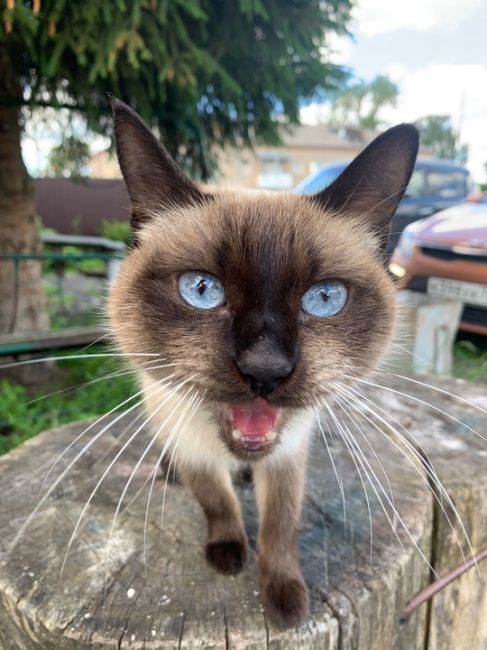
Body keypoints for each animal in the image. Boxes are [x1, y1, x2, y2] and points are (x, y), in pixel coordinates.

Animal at [107, 97, 420, 628]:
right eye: (202, 290)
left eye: (324, 298)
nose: (265, 368)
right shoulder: (192, 444)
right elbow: (217, 503)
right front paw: (230, 556)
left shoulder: (290, 453)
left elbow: (280, 525)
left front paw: (286, 602)